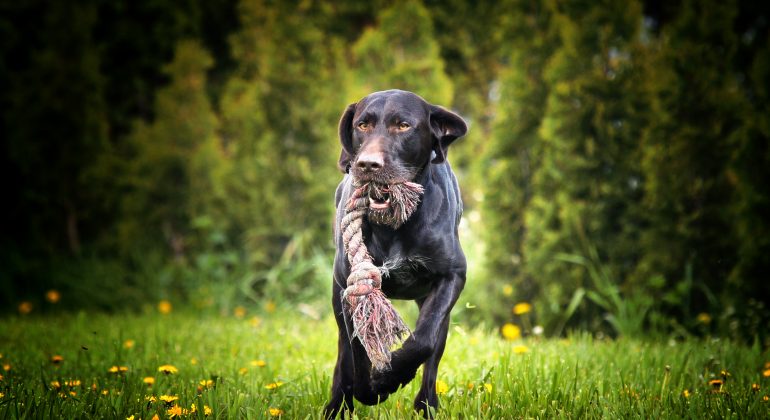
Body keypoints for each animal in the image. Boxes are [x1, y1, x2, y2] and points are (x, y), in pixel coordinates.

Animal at [322, 90, 464, 418]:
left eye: (403, 126)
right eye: (362, 125)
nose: (367, 164)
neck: (395, 226)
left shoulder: (452, 276)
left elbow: (423, 340)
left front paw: (391, 377)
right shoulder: (350, 286)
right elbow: (356, 350)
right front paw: (371, 389)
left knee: (432, 355)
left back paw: (426, 405)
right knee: (343, 356)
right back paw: (338, 405)